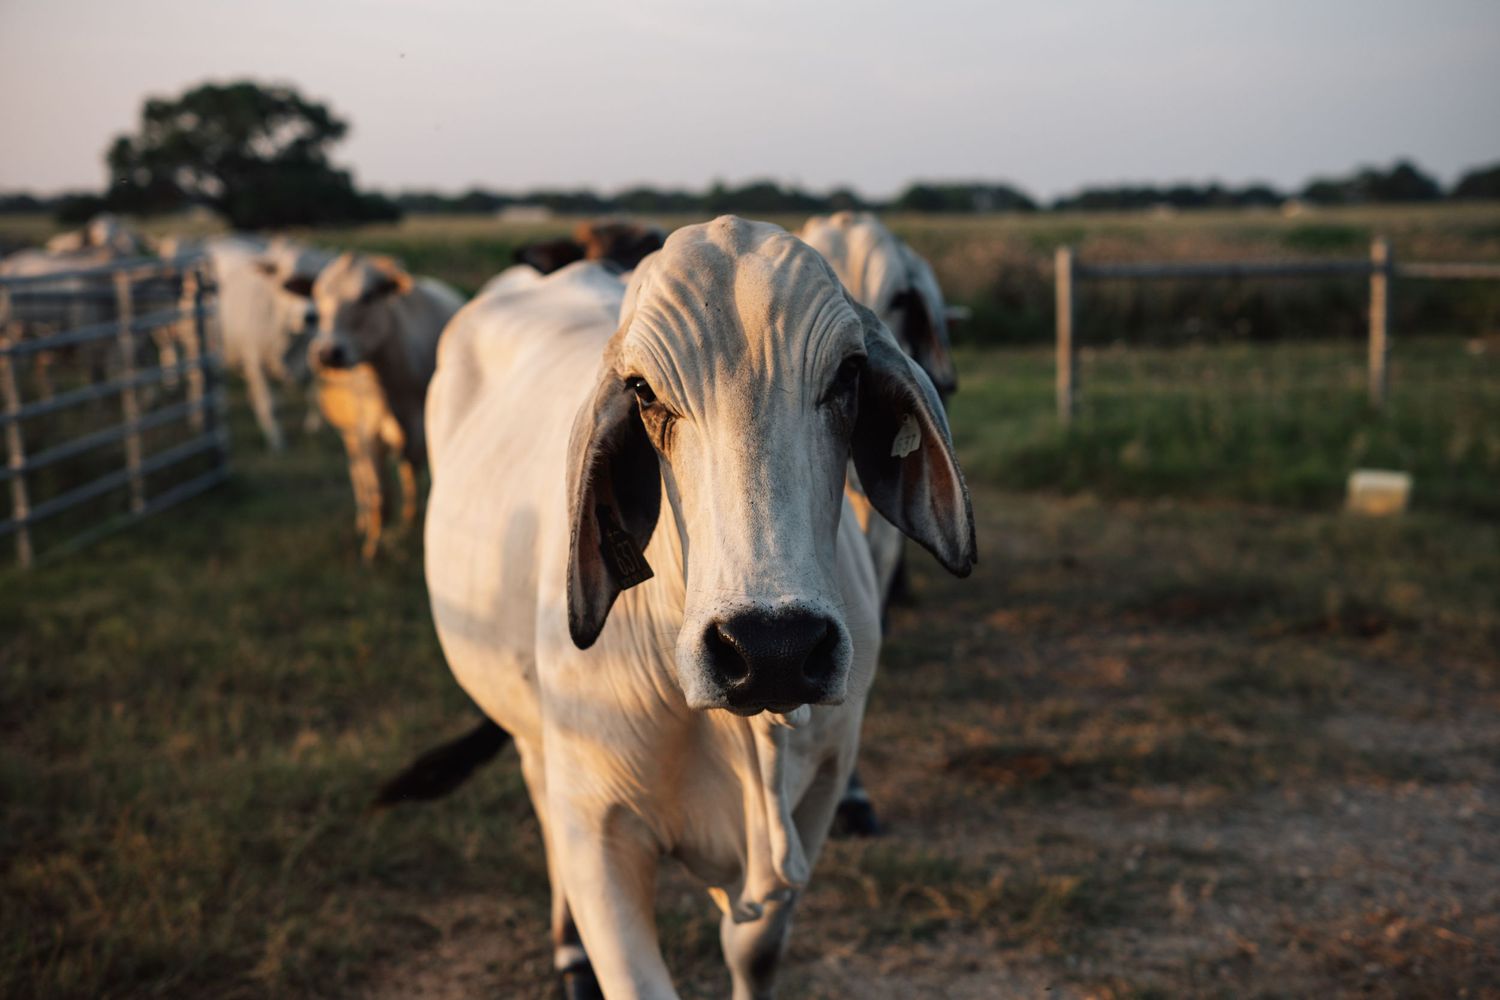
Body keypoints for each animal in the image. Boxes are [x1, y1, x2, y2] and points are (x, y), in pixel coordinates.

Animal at [300, 252, 463, 559]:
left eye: (367, 296)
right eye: (317, 297)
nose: (327, 353)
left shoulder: (420, 433)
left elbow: (411, 477)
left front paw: (409, 525)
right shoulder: (368, 434)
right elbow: (381, 495)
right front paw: (372, 549)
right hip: (350, 434)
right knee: (359, 475)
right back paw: (363, 520)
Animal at [423, 217, 975, 998]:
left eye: (847, 374)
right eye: (643, 391)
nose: (771, 648)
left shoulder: (816, 799)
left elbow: (755, 951)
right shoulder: (598, 830)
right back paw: (568, 955)